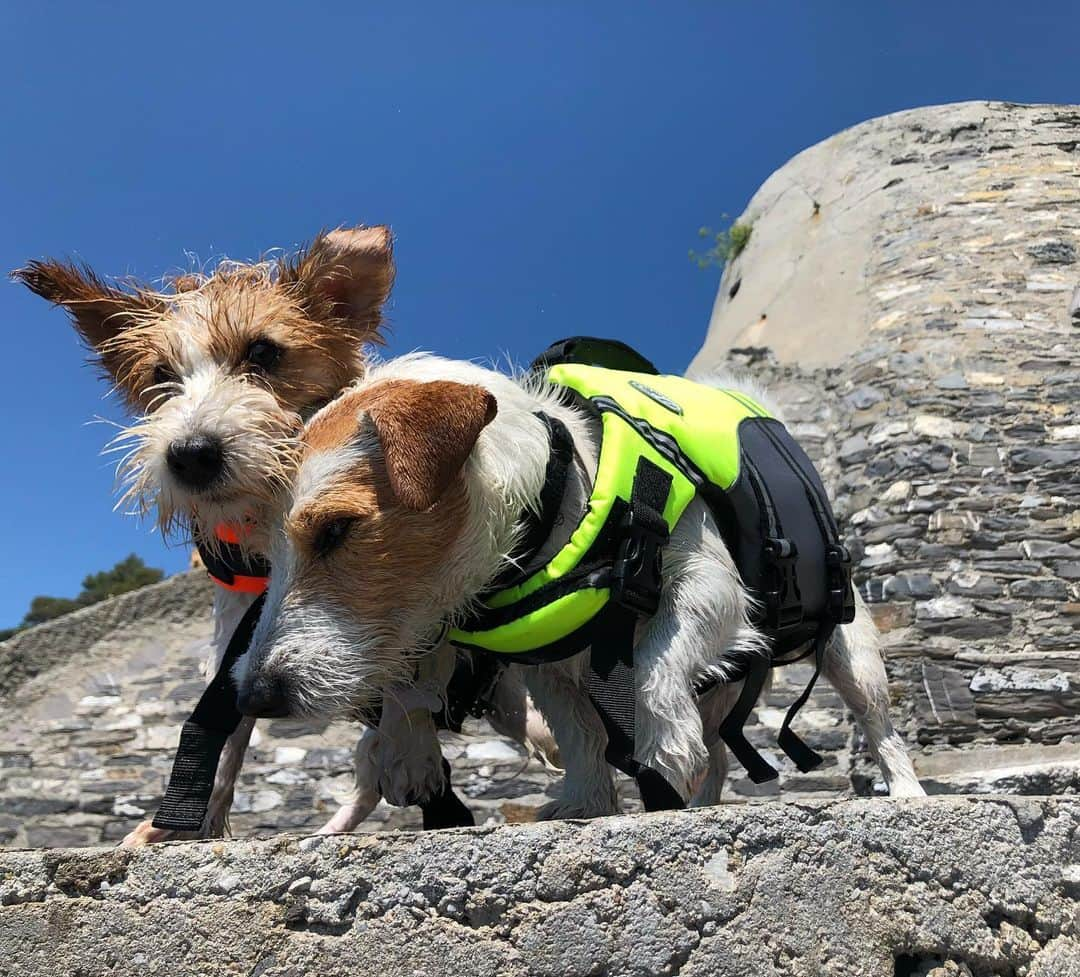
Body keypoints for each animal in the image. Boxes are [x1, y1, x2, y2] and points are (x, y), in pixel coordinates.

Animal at [234, 351, 920, 816]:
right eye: (266, 556)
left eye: (335, 529)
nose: (255, 696)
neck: (555, 509)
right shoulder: (545, 664)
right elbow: (580, 731)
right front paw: (588, 802)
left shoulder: (711, 589)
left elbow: (658, 660)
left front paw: (661, 743)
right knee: (721, 751)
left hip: (849, 646)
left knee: (876, 721)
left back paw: (906, 790)